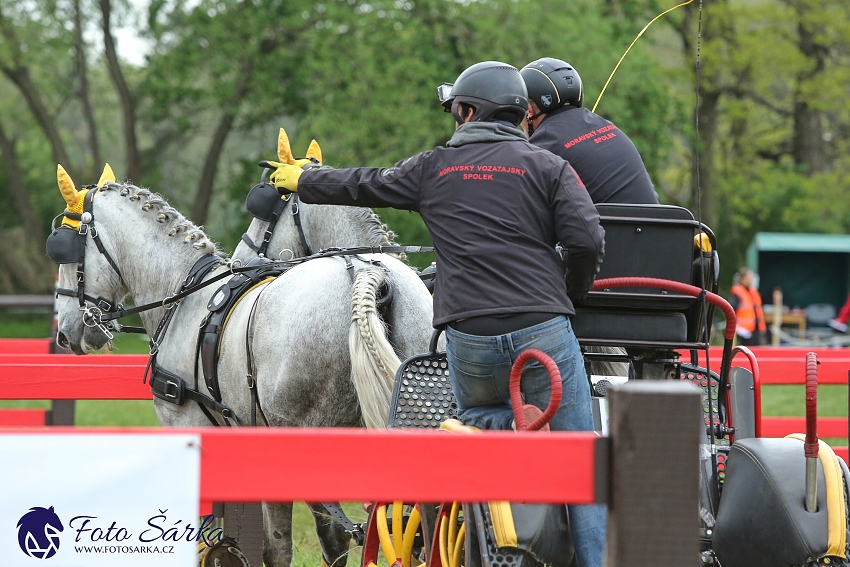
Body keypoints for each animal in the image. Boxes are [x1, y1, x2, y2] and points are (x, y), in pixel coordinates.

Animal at [52, 164, 434, 567]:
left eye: (64, 249)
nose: (65, 332)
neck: (186, 297)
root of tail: (364, 272)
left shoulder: (191, 427)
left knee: (306, 542)